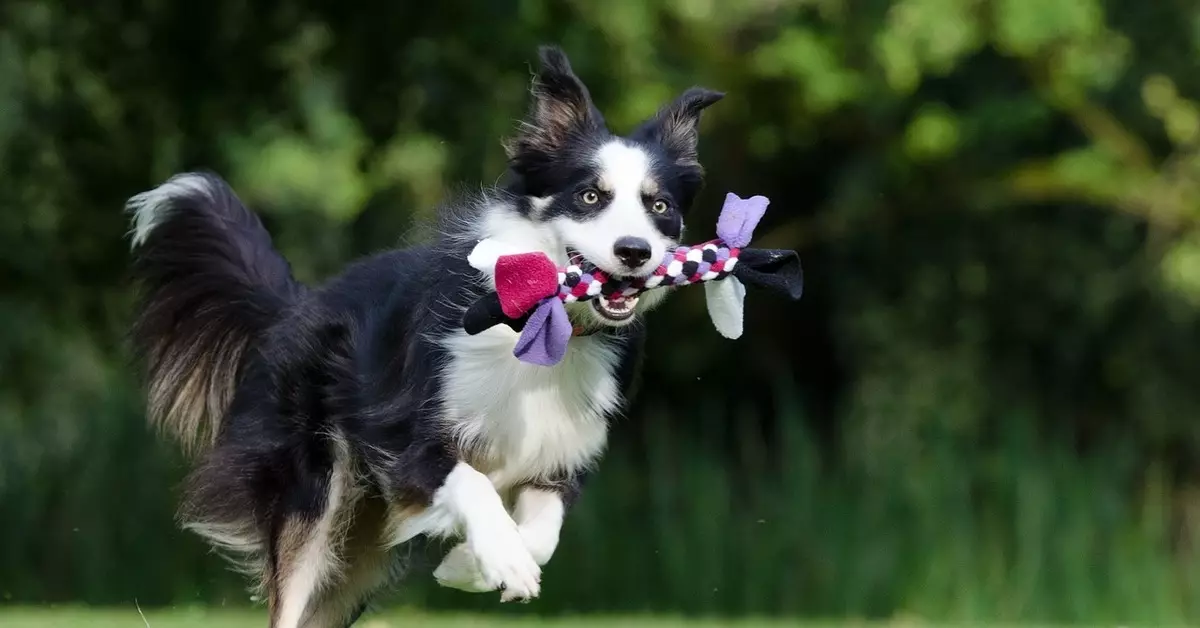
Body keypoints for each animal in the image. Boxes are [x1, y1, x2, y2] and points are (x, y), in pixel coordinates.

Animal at [125, 46, 720, 624]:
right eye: (591, 197)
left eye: (659, 206)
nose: (635, 252)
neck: (541, 326)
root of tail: (300, 303)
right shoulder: (405, 437)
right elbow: (472, 483)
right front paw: (501, 559)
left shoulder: (559, 453)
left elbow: (543, 534)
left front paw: (473, 565)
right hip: (316, 494)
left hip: (356, 555)